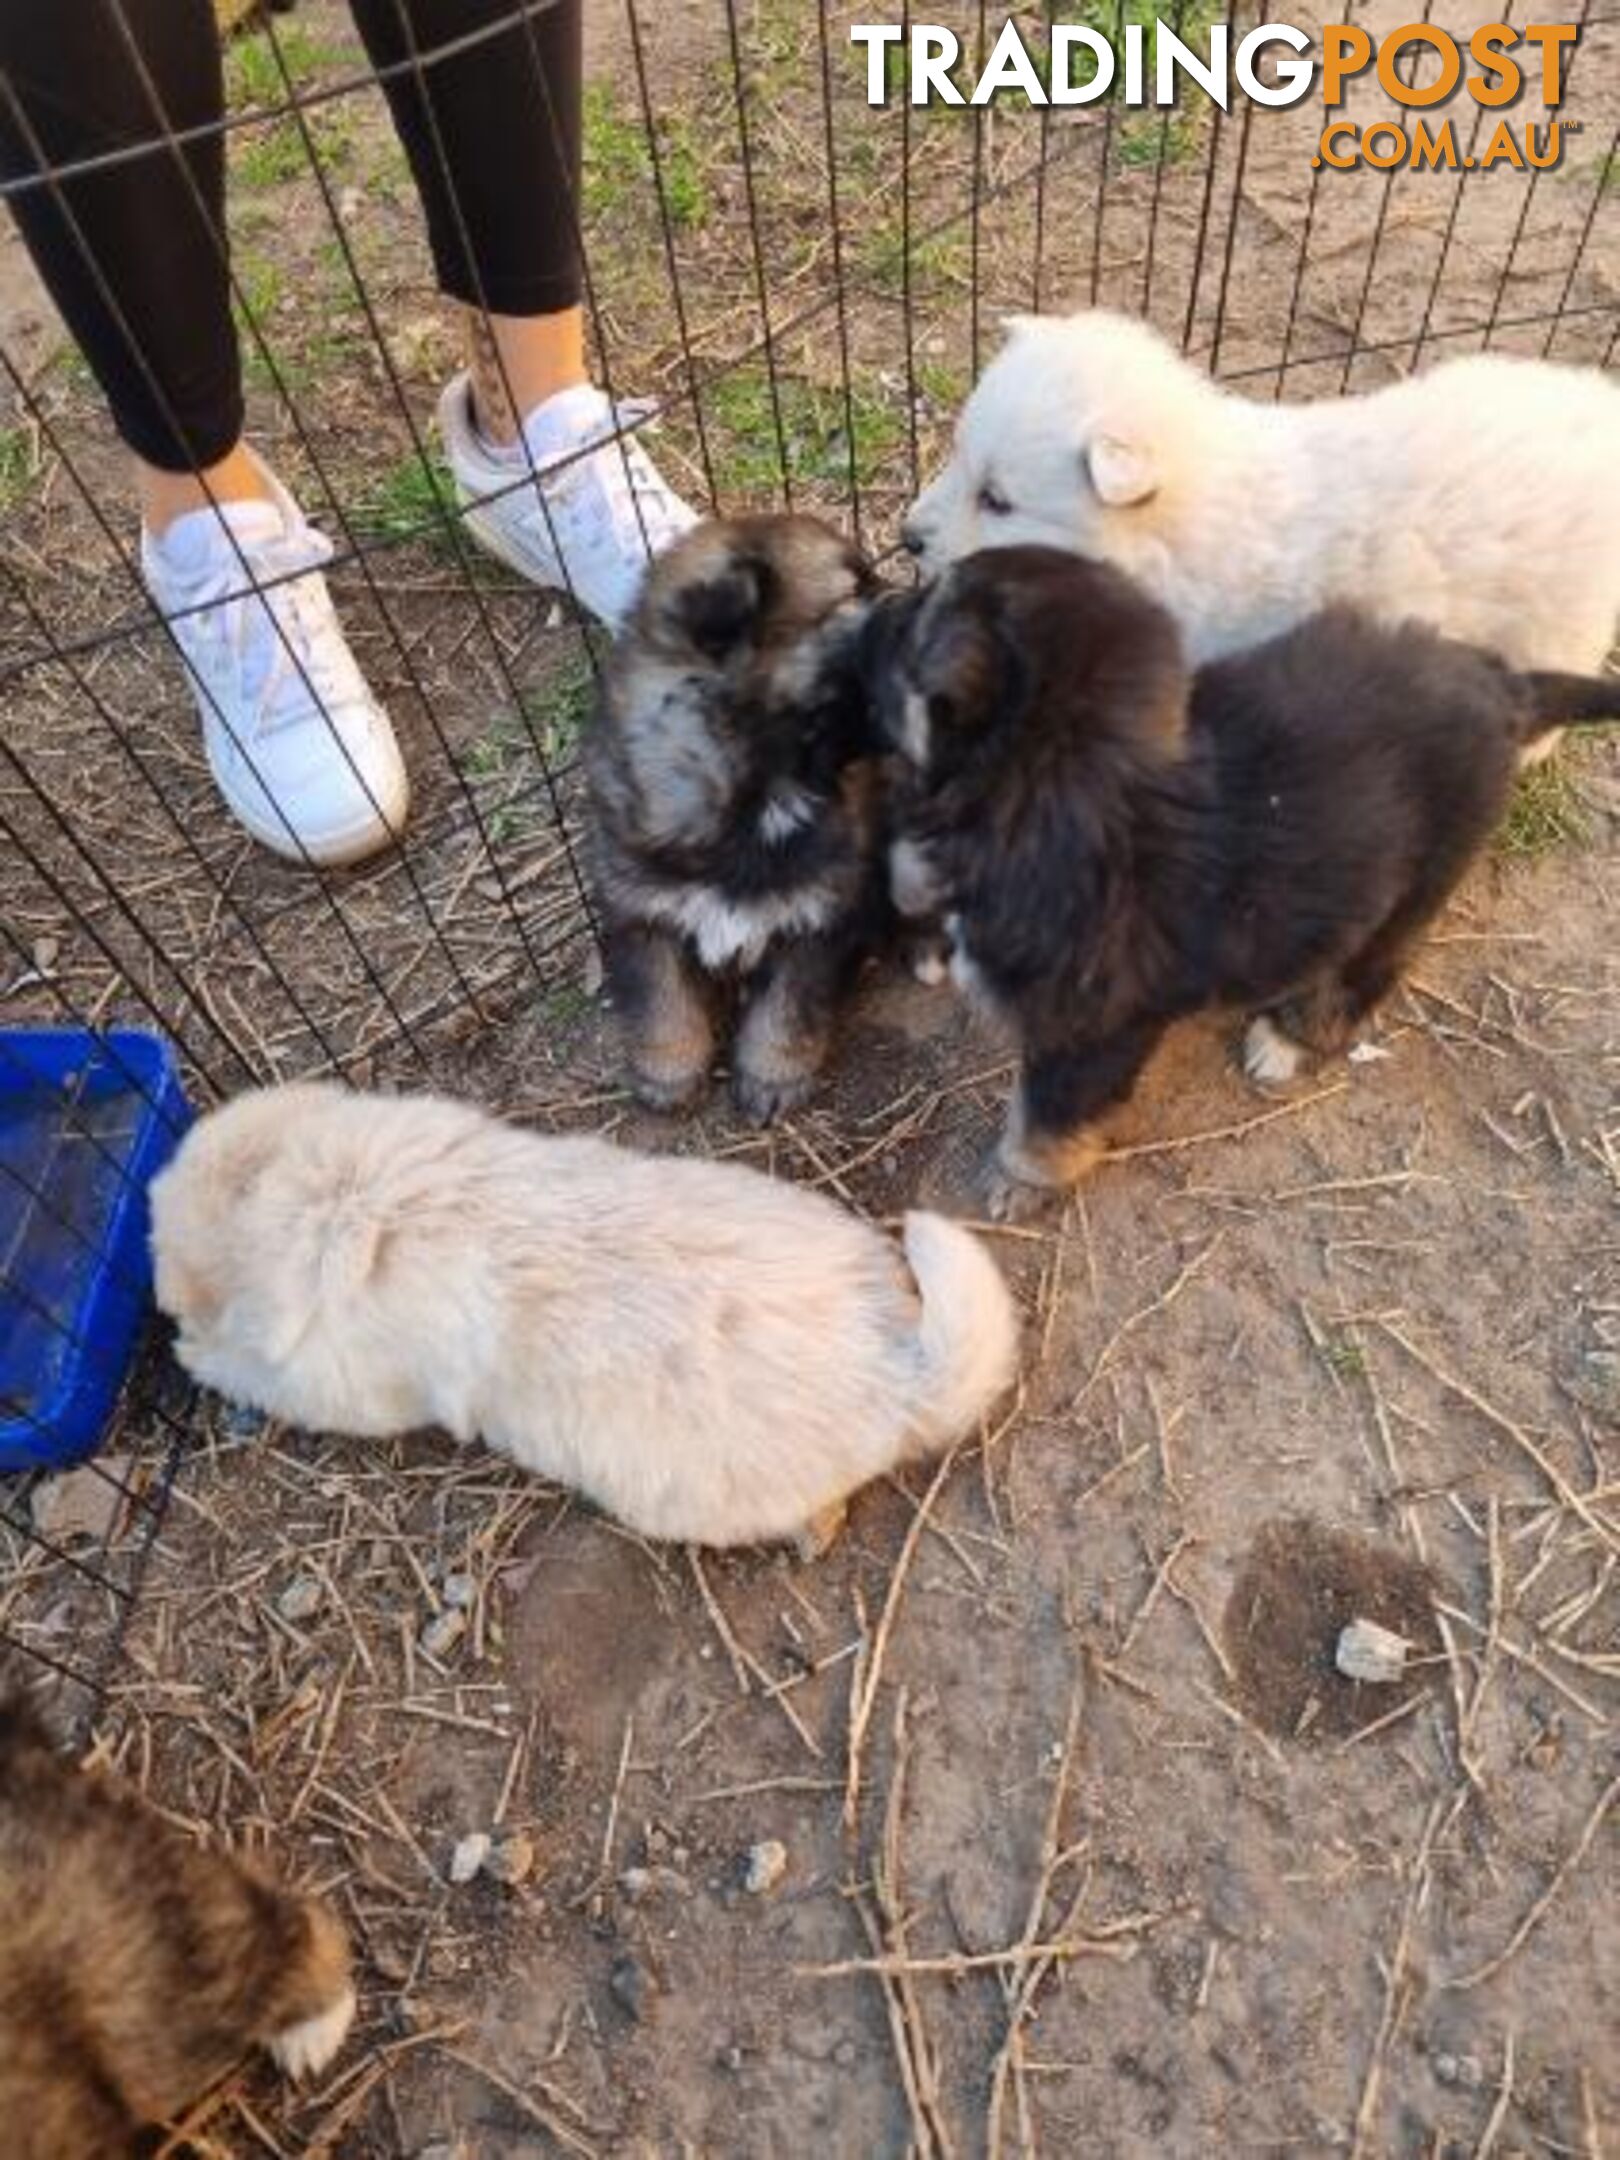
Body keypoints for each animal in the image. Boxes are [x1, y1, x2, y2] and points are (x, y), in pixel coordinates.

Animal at [149, 1088, 1015, 1546]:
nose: (161, 1311)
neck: (326, 1191)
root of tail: (896, 1368)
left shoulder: (348, 1387)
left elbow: (259, 1373)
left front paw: (193, 1352)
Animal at [587, 511, 889, 1123]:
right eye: (854, 591)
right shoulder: (641, 911)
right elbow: (662, 1000)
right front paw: (669, 1074)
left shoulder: (821, 916)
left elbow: (789, 1008)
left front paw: (772, 1078)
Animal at [855, 540, 1615, 1218]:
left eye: (913, 621)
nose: (868, 613)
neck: (1065, 782)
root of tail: (1505, 685)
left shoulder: (1092, 1031)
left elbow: (1046, 1115)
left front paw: (1021, 1181)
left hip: (1418, 878)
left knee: (1369, 967)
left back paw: (1289, 1038)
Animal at [907, 308, 1620, 678]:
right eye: (955, 455)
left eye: (997, 500)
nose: (906, 538)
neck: (1170, 534)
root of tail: (1601, 409)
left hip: (1554, 622)